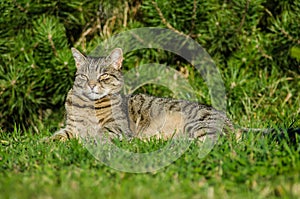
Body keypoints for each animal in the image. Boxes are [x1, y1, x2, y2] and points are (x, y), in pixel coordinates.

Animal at [50, 47, 236, 142]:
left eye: (104, 75)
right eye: (84, 76)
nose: (91, 84)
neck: (89, 105)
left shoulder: (118, 127)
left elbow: (99, 135)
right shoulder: (71, 128)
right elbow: (58, 136)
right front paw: (47, 143)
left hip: (199, 125)